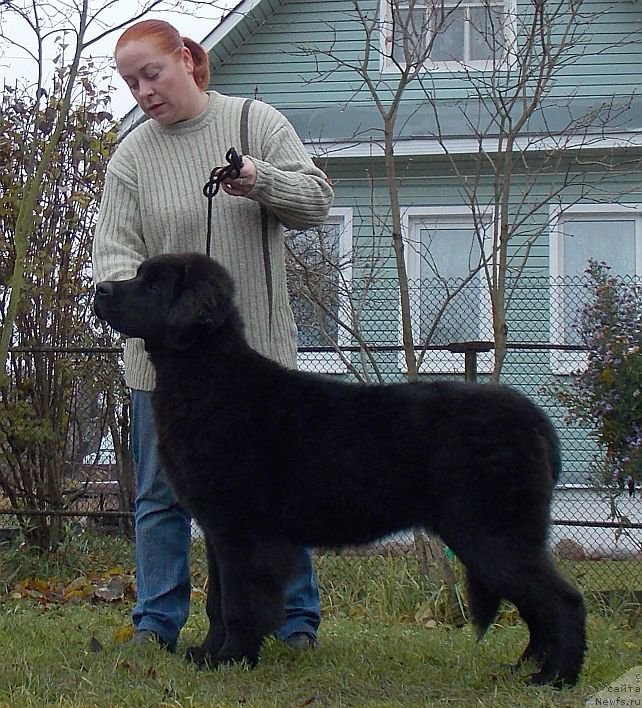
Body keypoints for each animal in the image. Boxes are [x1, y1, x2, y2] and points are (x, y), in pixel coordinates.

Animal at [95, 252, 584, 684]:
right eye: (138, 274)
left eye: (152, 285)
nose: (99, 288)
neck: (206, 378)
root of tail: (534, 417)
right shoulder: (218, 531)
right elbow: (217, 600)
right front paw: (207, 655)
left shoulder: (243, 531)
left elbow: (240, 603)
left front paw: (233, 659)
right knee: (538, 605)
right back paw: (525, 670)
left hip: (491, 533)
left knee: (563, 600)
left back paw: (556, 678)